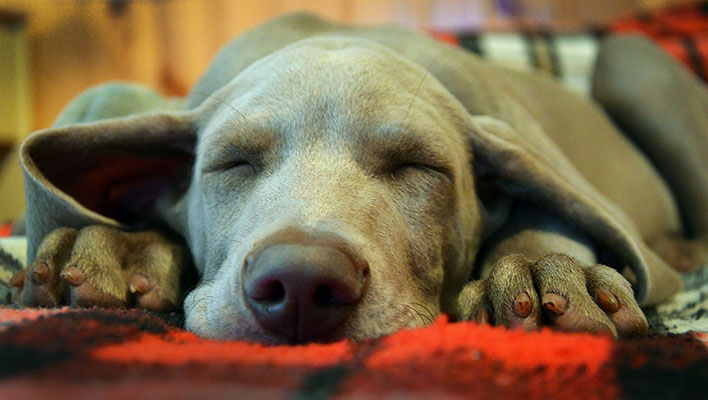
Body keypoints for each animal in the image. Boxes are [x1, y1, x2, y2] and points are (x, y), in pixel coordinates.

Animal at [11, 13, 708, 344]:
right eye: (233, 163)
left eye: (418, 166)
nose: (298, 284)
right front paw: (119, 248)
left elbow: (550, 209)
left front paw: (544, 275)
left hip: (630, 59)